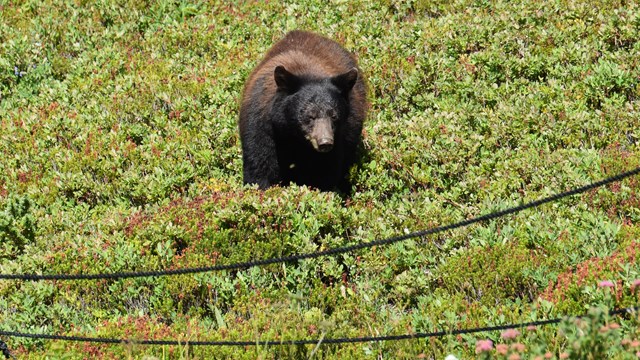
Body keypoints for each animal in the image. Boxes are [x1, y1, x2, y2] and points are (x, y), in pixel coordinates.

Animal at [238, 30, 368, 194]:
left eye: (334, 116)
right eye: (310, 115)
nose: (325, 142)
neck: (293, 135)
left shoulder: (338, 138)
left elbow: (325, 173)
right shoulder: (261, 125)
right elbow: (260, 168)